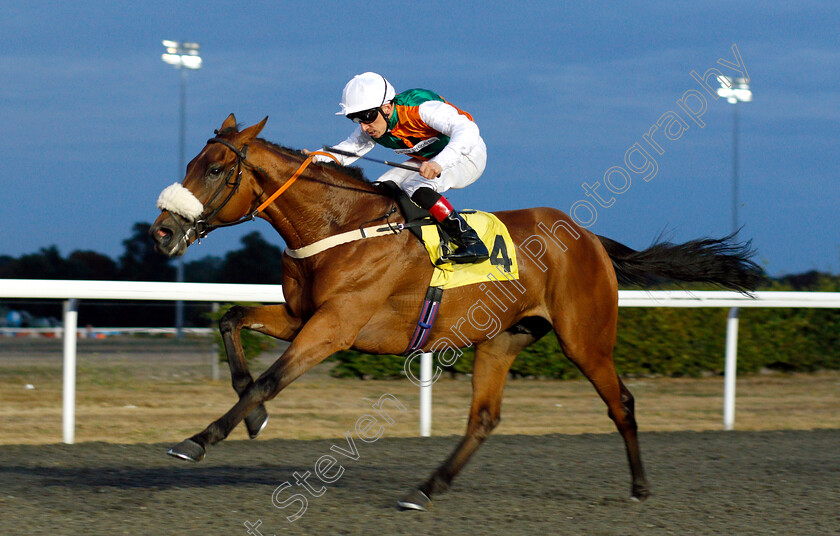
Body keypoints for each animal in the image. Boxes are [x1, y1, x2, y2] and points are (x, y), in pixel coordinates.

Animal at [149, 114, 760, 510]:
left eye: (215, 169)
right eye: (192, 161)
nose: (162, 232)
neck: (341, 224)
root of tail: (589, 238)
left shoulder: (334, 327)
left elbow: (267, 381)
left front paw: (199, 439)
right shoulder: (302, 316)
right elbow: (230, 320)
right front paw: (250, 420)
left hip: (585, 338)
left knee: (622, 403)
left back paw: (639, 488)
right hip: (503, 338)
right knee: (484, 417)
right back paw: (427, 487)